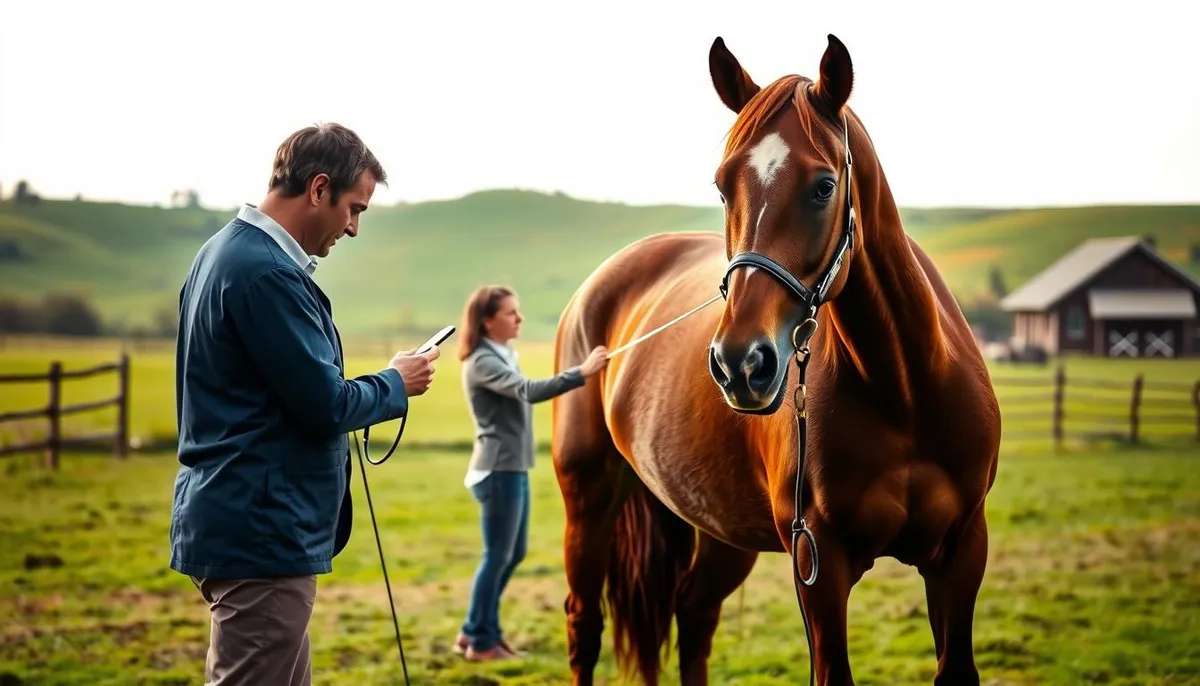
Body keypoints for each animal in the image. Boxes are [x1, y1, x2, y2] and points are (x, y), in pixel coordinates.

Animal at [550, 34, 1001, 686]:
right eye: (721, 187)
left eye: (823, 186)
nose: (740, 363)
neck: (905, 391)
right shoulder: (819, 567)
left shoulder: (961, 553)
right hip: (588, 500)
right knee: (585, 625)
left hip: (720, 527)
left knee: (693, 615)